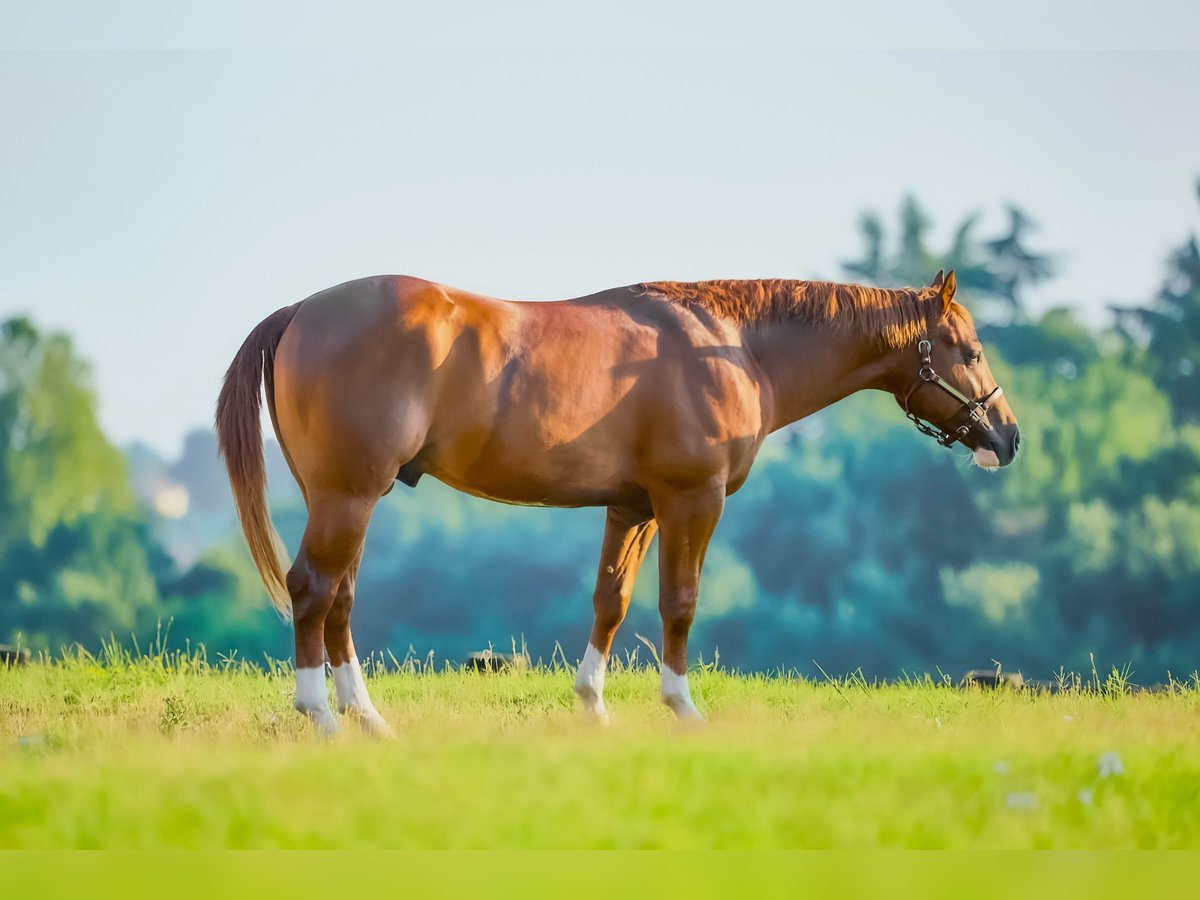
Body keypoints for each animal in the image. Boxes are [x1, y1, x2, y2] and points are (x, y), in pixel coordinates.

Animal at [213, 267, 1012, 734]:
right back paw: (322, 716)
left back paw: (369, 718)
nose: (1008, 437)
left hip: (347, 500)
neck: (734, 346)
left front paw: (594, 708)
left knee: (339, 599)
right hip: (347, 498)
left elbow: (612, 601)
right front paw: (682, 708)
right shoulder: (692, 500)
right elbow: (679, 602)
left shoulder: (633, 508)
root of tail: (301, 311)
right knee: (313, 589)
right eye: (969, 351)